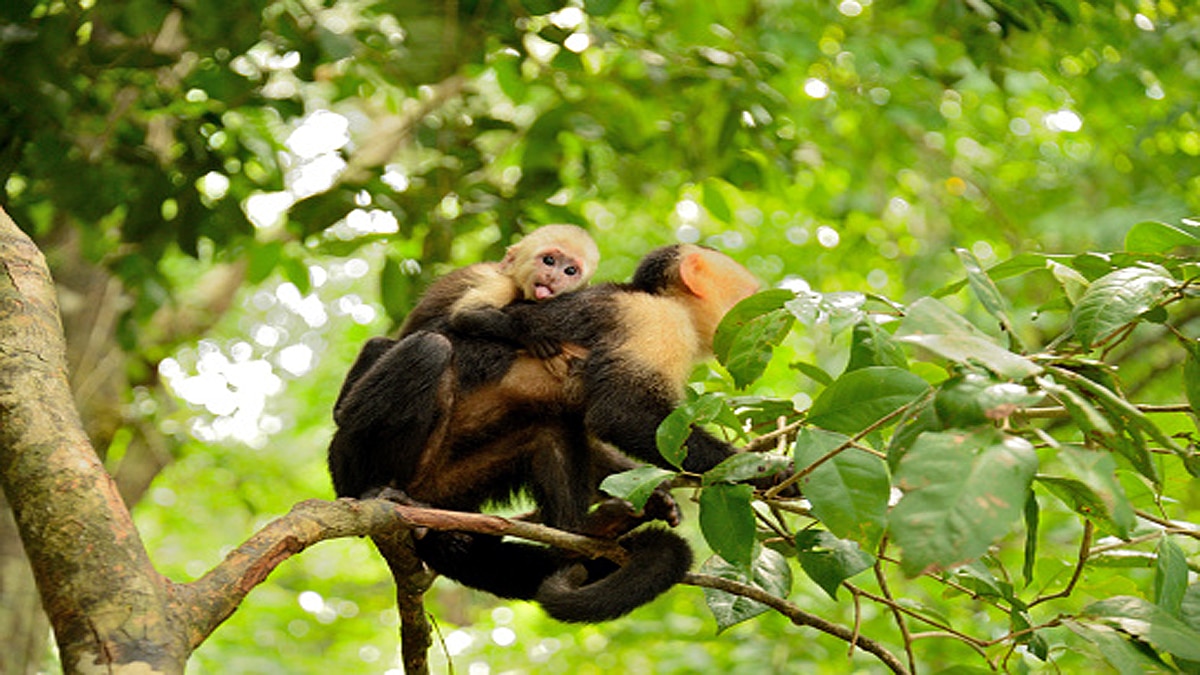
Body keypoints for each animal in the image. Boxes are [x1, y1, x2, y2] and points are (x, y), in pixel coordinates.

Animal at [329, 243, 766, 622]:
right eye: (749, 297)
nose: (757, 309)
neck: (675, 308)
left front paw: (657, 495)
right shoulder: (654, 323)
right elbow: (620, 413)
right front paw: (766, 471)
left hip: (456, 485)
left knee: (550, 429)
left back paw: (582, 531)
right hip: (355, 456)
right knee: (428, 350)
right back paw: (381, 490)